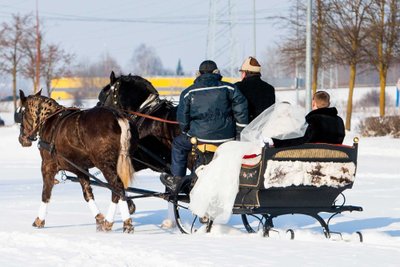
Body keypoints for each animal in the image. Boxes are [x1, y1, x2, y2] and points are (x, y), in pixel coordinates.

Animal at [18, 90, 138, 234]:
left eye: (21, 113)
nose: (22, 139)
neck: (49, 120)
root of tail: (117, 116)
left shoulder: (47, 165)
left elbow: (46, 193)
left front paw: (39, 220)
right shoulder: (80, 169)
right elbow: (87, 194)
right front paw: (98, 218)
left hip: (105, 165)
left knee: (117, 188)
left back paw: (116, 223)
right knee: (118, 191)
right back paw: (117, 222)